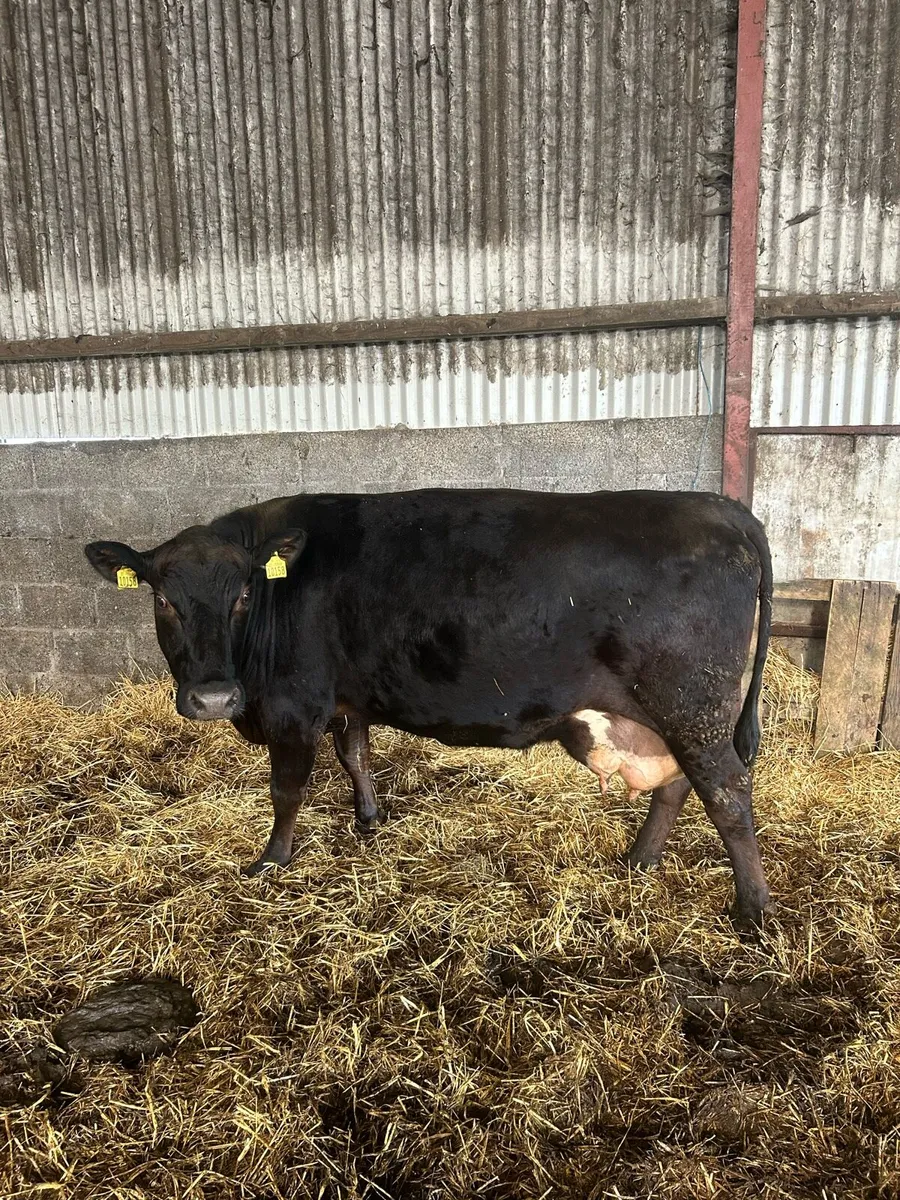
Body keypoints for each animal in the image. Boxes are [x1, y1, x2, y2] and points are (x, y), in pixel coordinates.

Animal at [85, 486, 773, 932]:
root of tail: (725, 510)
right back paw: (639, 860)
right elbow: (355, 754)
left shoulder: (293, 706)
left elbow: (287, 788)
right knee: (679, 786)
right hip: (672, 715)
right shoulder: (348, 697)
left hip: (692, 704)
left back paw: (752, 910)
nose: (212, 697)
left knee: (728, 794)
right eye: (163, 598)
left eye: (244, 595)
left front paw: (271, 862)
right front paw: (369, 819)